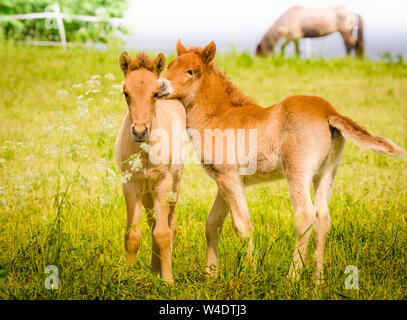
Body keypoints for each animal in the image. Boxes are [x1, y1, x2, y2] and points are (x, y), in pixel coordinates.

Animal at [113, 51, 186, 284]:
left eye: (155, 93)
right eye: (125, 92)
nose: (139, 131)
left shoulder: (162, 184)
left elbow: (163, 234)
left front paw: (168, 281)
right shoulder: (130, 186)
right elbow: (133, 235)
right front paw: (126, 278)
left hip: (173, 187)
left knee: (170, 224)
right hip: (146, 193)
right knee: (153, 222)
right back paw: (154, 270)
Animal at [158, 39, 404, 282]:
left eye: (191, 71)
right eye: (169, 66)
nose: (160, 85)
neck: (218, 116)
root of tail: (329, 112)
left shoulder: (228, 177)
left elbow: (242, 226)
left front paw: (251, 273)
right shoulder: (225, 180)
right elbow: (213, 223)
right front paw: (211, 274)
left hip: (297, 172)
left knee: (305, 216)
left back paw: (292, 277)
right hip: (326, 173)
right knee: (322, 219)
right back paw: (317, 280)